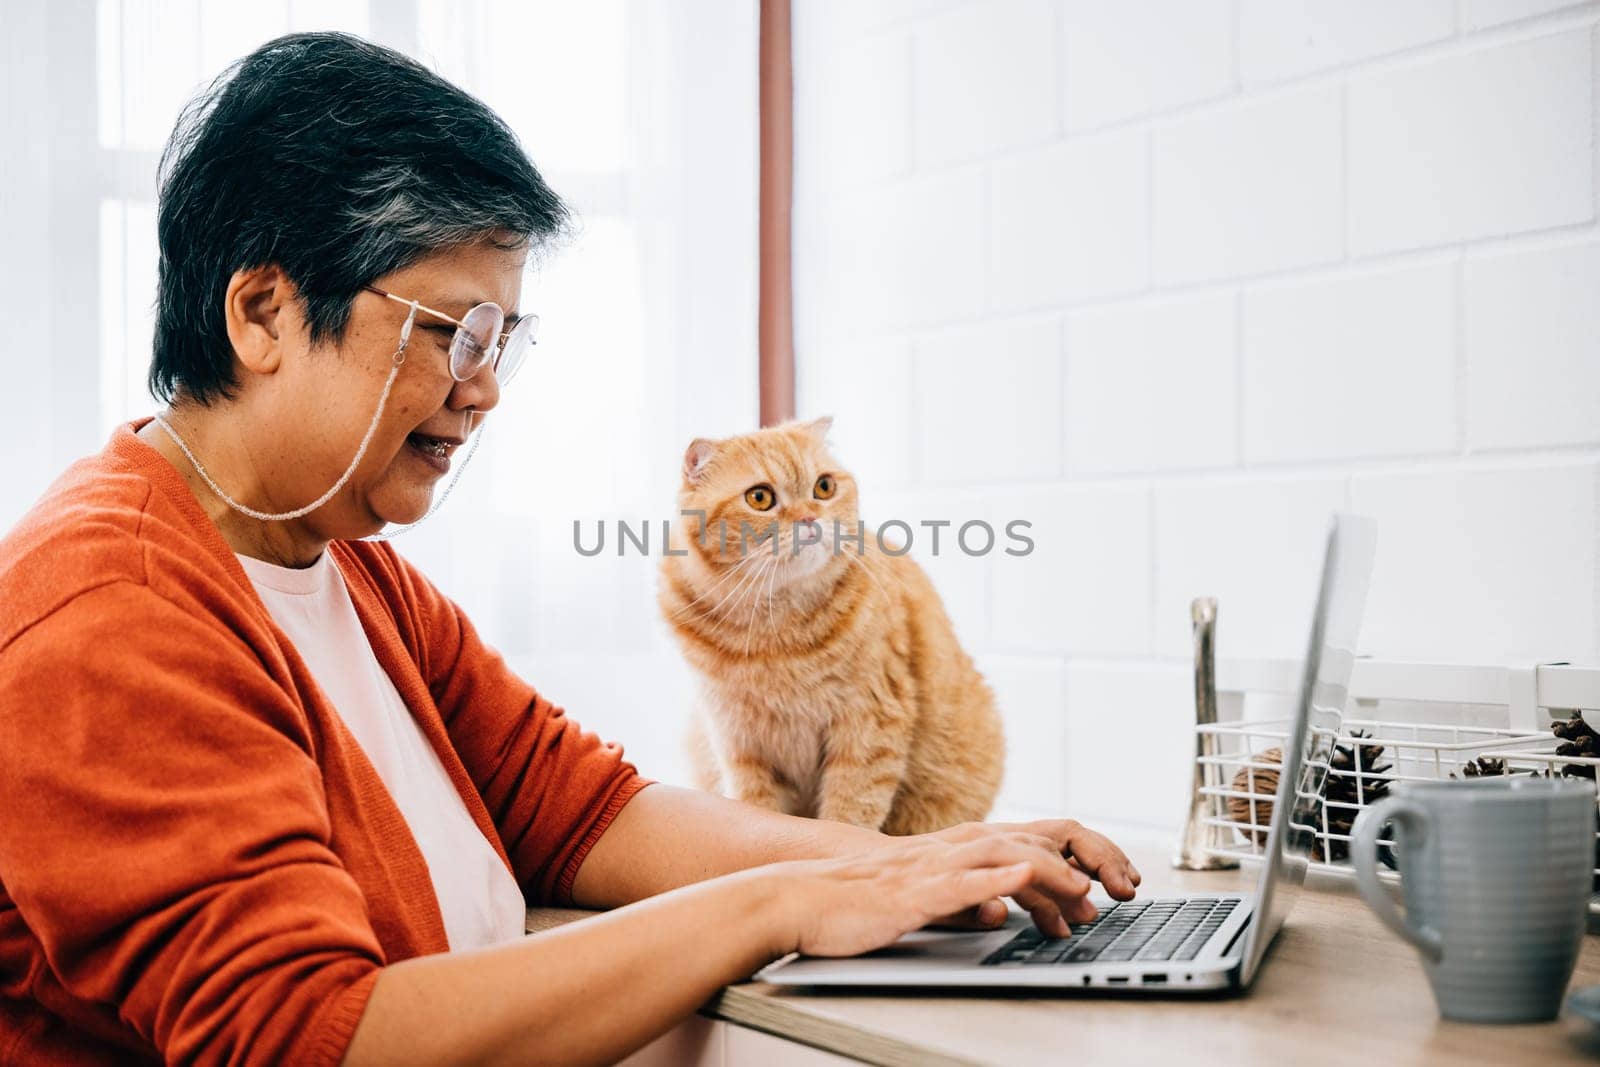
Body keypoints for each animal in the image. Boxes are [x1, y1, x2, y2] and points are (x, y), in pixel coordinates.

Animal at [652, 415, 998, 831]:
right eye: (759, 498)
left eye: (824, 487)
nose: (809, 518)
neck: (775, 630)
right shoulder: (740, 744)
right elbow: (758, 811)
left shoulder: (869, 724)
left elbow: (848, 814)